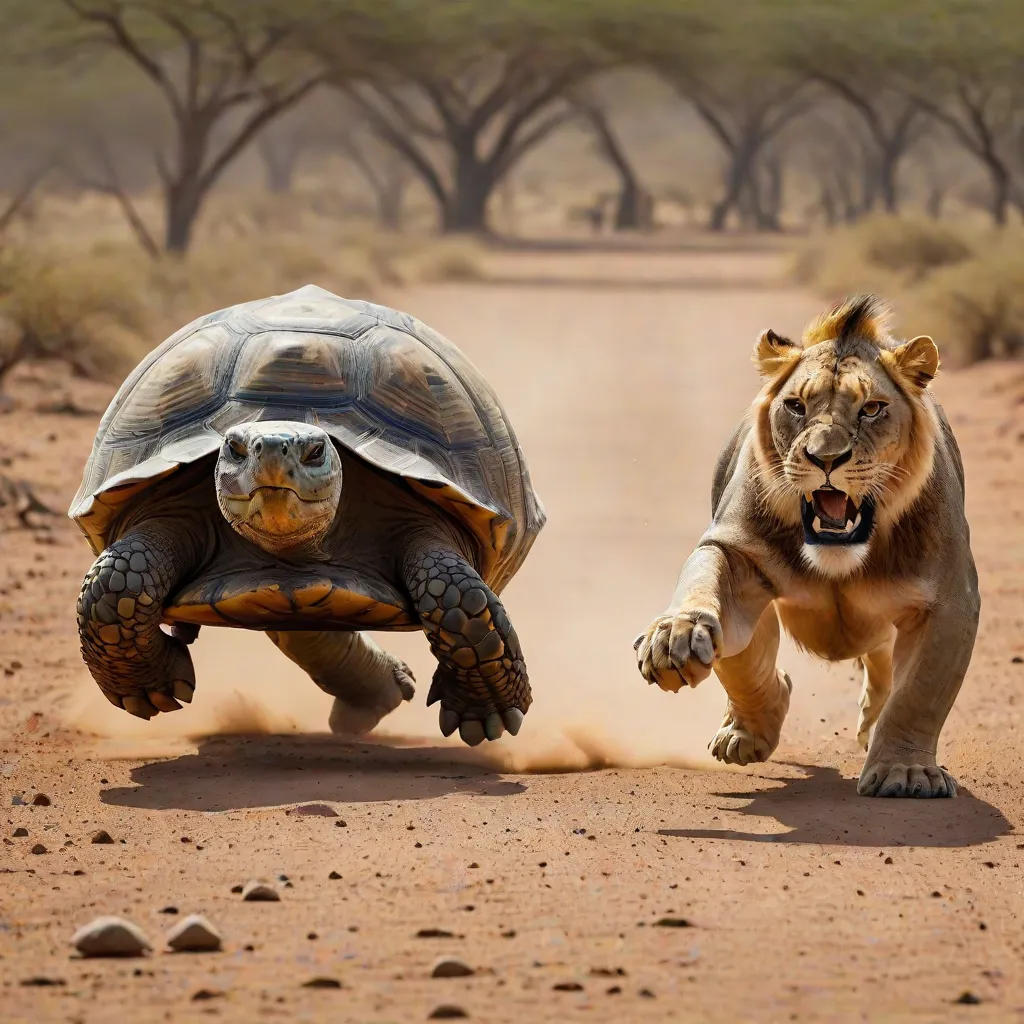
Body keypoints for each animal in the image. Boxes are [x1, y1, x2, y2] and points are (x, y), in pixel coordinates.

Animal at [634, 295, 979, 798]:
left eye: (872, 409)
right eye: (796, 406)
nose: (826, 458)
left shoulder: (951, 599)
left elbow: (919, 694)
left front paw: (906, 772)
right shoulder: (735, 551)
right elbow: (716, 611)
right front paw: (675, 637)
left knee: (882, 662)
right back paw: (742, 732)